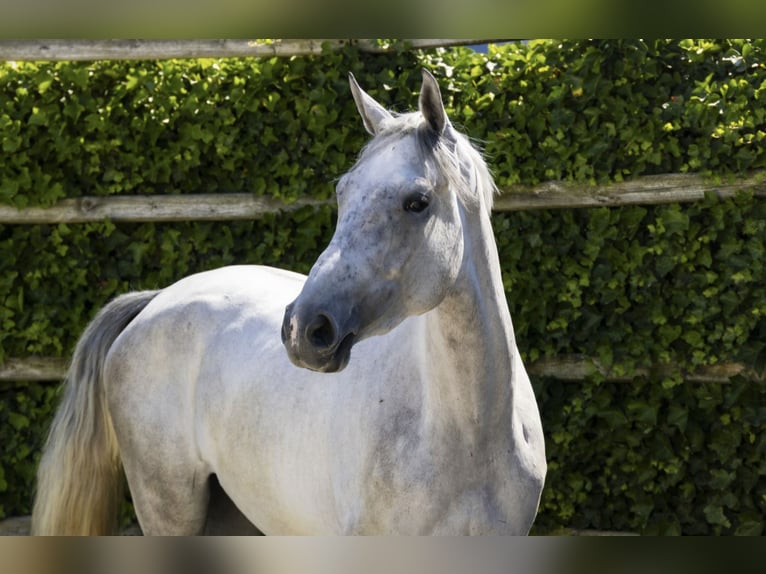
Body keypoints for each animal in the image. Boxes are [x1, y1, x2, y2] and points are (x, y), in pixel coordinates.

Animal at [32, 70, 546, 535]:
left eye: (417, 201)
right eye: (342, 191)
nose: (304, 329)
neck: (465, 435)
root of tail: (156, 300)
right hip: (169, 511)